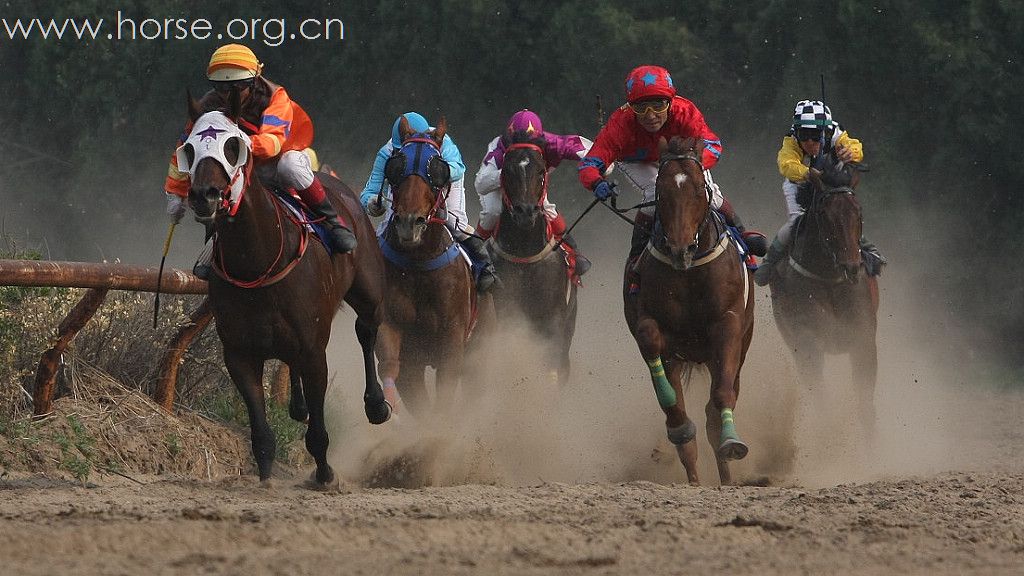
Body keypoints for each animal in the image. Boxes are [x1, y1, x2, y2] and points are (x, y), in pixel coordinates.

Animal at [180, 93, 387, 483]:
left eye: (233, 145)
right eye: (188, 148)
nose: (204, 195)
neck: (258, 262)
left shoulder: (314, 349)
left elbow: (319, 426)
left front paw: (325, 473)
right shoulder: (239, 353)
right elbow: (260, 428)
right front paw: (264, 475)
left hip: (367, 285)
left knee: (367, 330)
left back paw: (377, 403)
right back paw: (298, 405)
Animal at [374, 114, 477, 414]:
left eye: (438, 168)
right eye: (396, 166)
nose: (410, 223)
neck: (418, 263)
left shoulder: (453, 339)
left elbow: (445, 389)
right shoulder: (399, 339)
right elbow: (391, 365)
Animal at [485, 133, 577, 383]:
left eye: (541, 170)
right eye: (507, 170)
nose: (525, 211)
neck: (524, 256)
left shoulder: (554, 318)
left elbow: (552, 367)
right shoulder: (505, 314)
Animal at [618, 135, 757, 483]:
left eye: (698, 190)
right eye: (661, 193)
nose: (681, 249)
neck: (690, 271)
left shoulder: (728, 324)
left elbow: (721, 397)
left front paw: (731, 442)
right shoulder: (652, 324)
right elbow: (650, 339)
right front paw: (677, 421)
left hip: (740, 346)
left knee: (718, 405)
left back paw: (725, 473)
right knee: (686, 434)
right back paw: (693, 472)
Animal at [770, 158, 880, 432]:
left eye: (858, 212)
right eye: (824, 214)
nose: (851, 266)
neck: (829, 280)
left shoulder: (863, 338)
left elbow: (865, 405)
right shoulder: (807, 340)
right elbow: (822, 402)